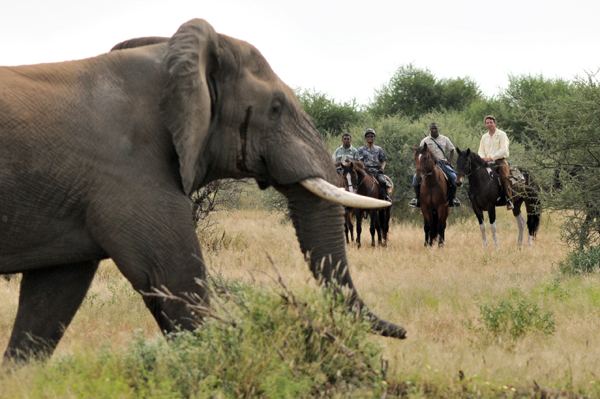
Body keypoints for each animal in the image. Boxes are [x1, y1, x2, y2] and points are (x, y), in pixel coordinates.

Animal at [0, 18, 408, 362]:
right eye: (275, 108)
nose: (403, 332)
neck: (172, 62)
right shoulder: (128, 173)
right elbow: (176, 282)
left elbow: (51, 298)